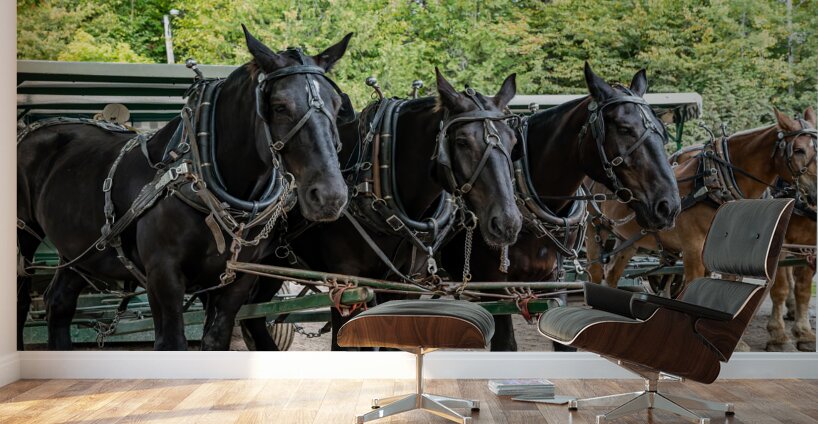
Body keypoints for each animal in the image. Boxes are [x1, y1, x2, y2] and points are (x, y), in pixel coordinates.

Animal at [17, 26, 354, 350]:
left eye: (338, 105)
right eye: (280, 106)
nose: (330, 196)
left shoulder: (237, 281)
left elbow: (216, 340)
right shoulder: (162, 276)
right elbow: (171, 342)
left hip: (77, 249)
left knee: (59, 303)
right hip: (24, 238)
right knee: (22, 299)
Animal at [586, 107, 817, 295]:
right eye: (798, 150)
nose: (815, 193)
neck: (713, 182)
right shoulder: (693, 249)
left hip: (627, 239)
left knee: (612, 274)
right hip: (594, 227)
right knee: (595, 272)